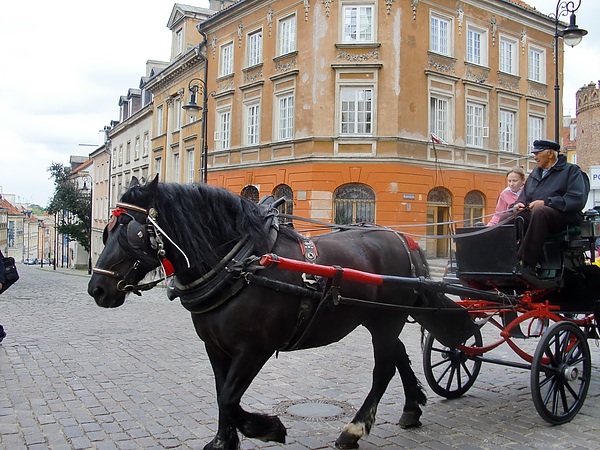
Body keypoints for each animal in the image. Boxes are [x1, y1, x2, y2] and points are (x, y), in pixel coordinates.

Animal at [88, 178, 426, 450]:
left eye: (132, 232)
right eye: (107, 231)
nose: (97, 289)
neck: (240, 265)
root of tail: (403, 239)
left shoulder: (254, 350)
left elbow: (229, 397)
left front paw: (268, 428)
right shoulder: (215, 347)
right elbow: (221, 392)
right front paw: (223, 441)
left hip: (385, 322)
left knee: (383, 369)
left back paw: (353, 430)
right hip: (379, 319)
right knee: (399, 354)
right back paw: (412, 407)